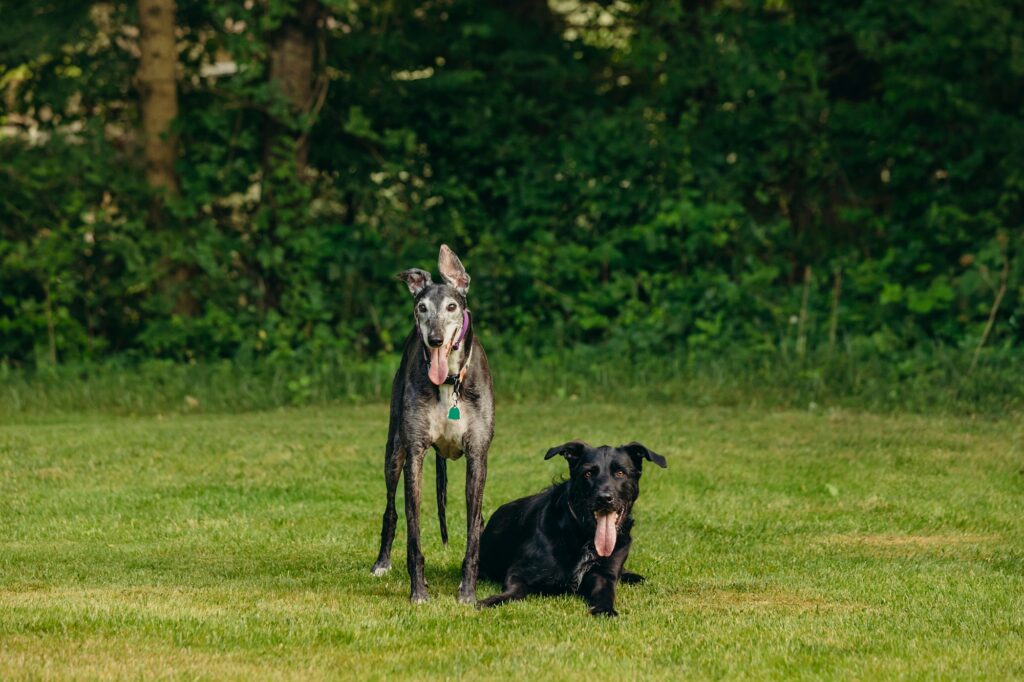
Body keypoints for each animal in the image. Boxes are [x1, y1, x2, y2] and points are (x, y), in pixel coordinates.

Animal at [477, 438, 667, 614]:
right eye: (588, 474)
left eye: (620, 472)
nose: (604, 498)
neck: (585, 537)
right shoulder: (518, 574)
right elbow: (513, 592)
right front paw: (491, 601)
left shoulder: (605, 576)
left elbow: (605, 594)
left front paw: (605, 610)